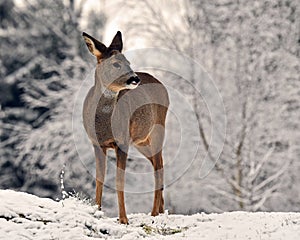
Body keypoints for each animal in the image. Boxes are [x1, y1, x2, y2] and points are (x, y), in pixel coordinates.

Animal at [82, 31, 169, 224]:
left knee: (159, 167)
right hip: (141, 141)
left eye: (128, 61)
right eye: (116, 63)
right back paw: (161, 210)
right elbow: (99, 178)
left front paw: (123, 219)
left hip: (158, 128)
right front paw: (96, 211)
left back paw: (154, 213)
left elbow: (119, 180)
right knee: (157, 163)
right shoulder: (96, 143)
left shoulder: (122, 142)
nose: (135, 78)